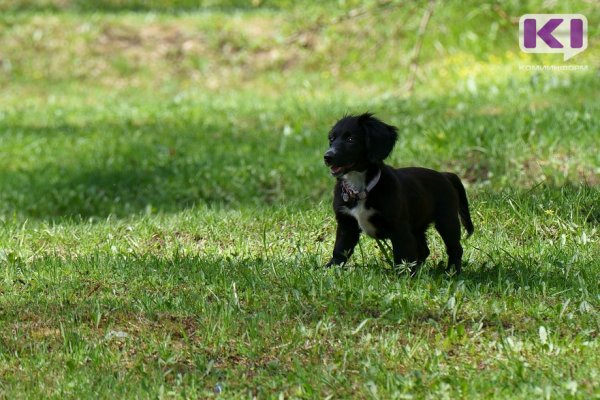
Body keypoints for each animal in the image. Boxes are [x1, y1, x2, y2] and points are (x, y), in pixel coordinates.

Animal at [324, 113, 474, 276]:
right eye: (331, 139)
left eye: (351, 139)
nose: (327, 157)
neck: (361, 188)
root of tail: (445, 174)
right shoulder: (347, 224)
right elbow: (340, 250)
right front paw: (330, 270)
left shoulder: (398, 227)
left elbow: (403, 255)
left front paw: (402, 277)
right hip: (417, 224)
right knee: (423, 250)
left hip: (447, 220)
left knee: (455, 248)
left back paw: (452, 272)